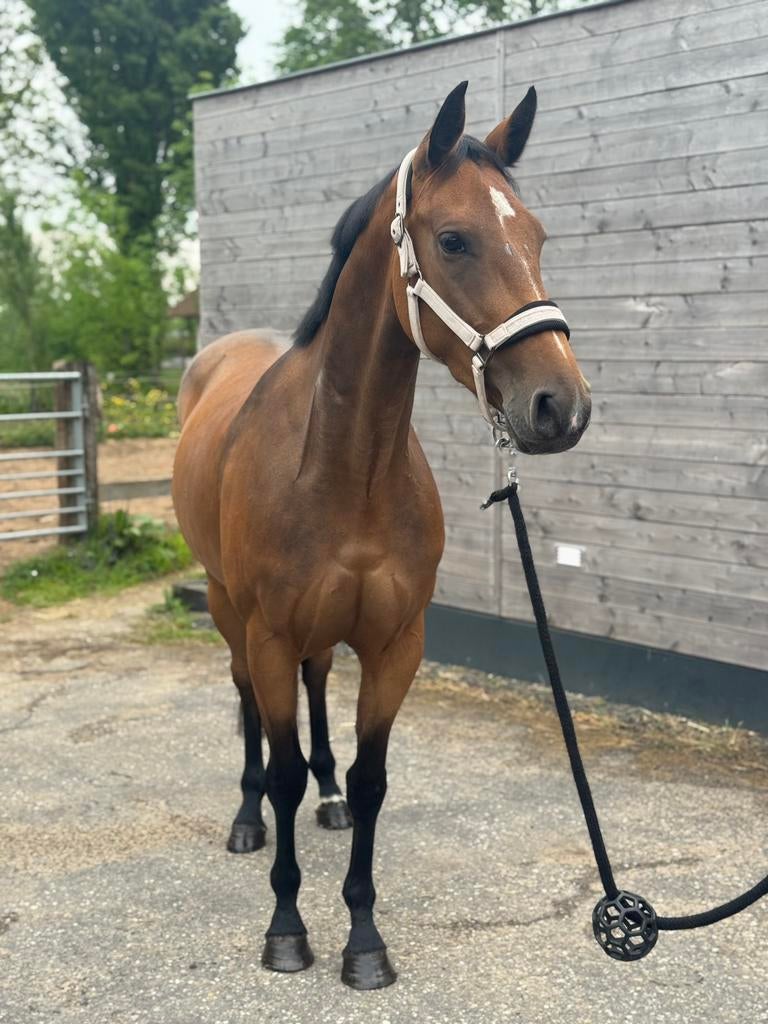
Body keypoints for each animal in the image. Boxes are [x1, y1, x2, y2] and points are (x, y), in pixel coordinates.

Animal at [172, 80, 591, 990]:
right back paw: (247, 818)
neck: (343, 466)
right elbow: (282, 766)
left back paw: (324, 801)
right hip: (227, 609)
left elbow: (371, 781)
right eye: (454, 239)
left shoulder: (397, 643)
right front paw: (287, 928)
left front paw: (363, 937)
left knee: (317, 690)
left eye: (537, 235)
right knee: (249, 704)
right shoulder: (268, 630)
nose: (561, 407)